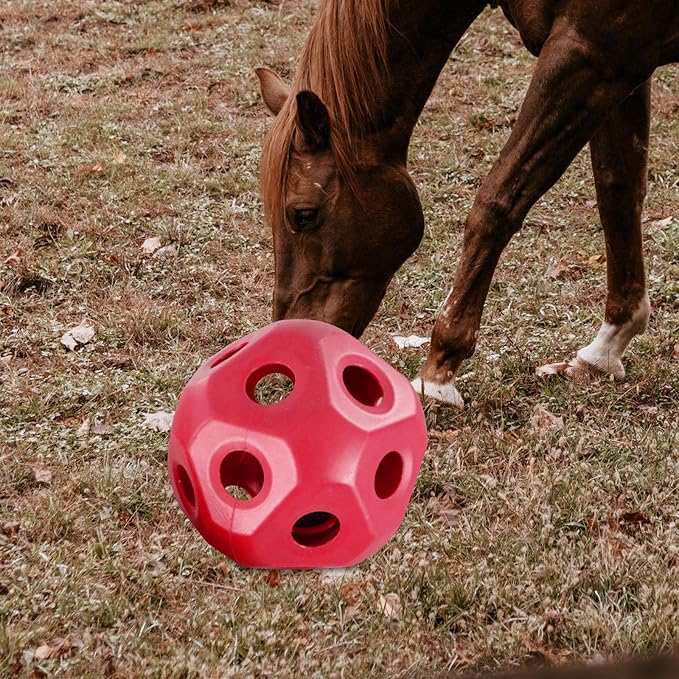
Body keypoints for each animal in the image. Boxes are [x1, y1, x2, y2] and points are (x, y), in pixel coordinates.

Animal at [256, 0, 678, 408]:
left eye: (303, 215)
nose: (290, 343)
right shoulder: (623, 67)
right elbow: (618, 192)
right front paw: (605, 350)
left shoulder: (590, 55)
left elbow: (497, 200)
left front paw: (439, 371)